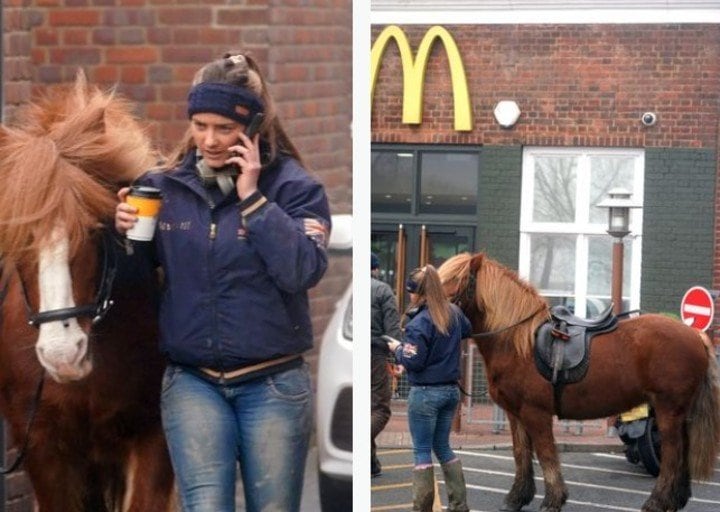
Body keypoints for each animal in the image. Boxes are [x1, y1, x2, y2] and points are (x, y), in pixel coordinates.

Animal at [438, 252, 720, 512]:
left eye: (455, 280)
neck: (519, 342)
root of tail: (694, 335)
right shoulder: (515, 414)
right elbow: (521, 454)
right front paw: (517, 498)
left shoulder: (536, 413)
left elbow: (546, 454)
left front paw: (553, 500)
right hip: (680, 412)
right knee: (683, 450)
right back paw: (676, 499)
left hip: (667, 410)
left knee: (671, 454)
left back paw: (657, 502)